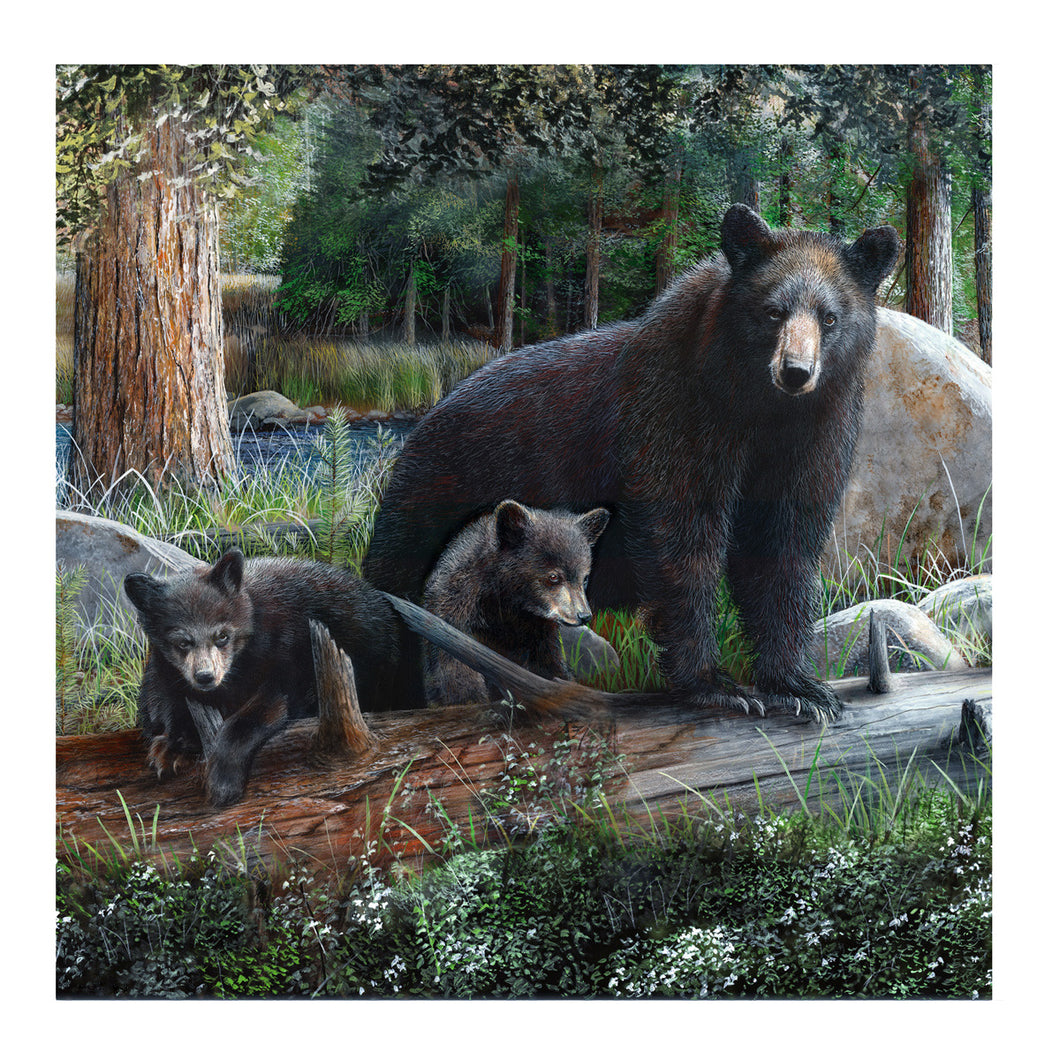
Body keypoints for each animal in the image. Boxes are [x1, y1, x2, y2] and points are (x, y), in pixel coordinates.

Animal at [124, 550, 418, 806]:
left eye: (222, 636)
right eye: (182, 642)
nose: (205, 676)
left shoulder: (287, 650)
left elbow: (270, 704)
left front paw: (223, 783)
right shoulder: (164, 668)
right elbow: (161, 700)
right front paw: (171, 749)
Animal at [422, 500, 610, 705]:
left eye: (584, 578)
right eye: (553, 577)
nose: (584, 615)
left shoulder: (539, 630)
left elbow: (549, 663)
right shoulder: (456, 606)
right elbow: (454, 666)